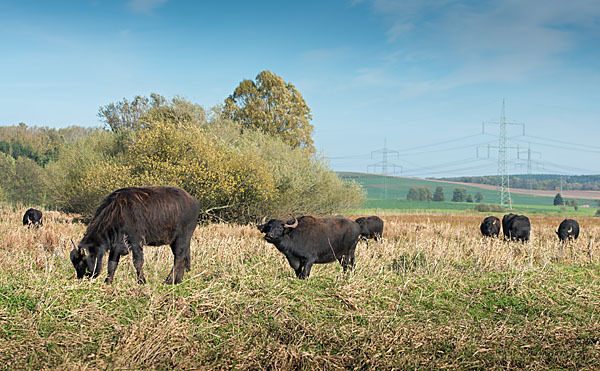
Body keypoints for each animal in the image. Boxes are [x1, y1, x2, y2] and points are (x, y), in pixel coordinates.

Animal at [69, 186, 202, 284]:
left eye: (81, 262)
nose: (81, 277)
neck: (116, 212)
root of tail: (193, 201)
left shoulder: (135, 242)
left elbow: (138, 262)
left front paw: (141, 281)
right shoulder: (116, 245)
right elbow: (112, 264)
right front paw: (108, 281)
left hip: (181, 238)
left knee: (179, 258)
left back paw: (168, 281)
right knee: (182, 257)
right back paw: (177, 280)